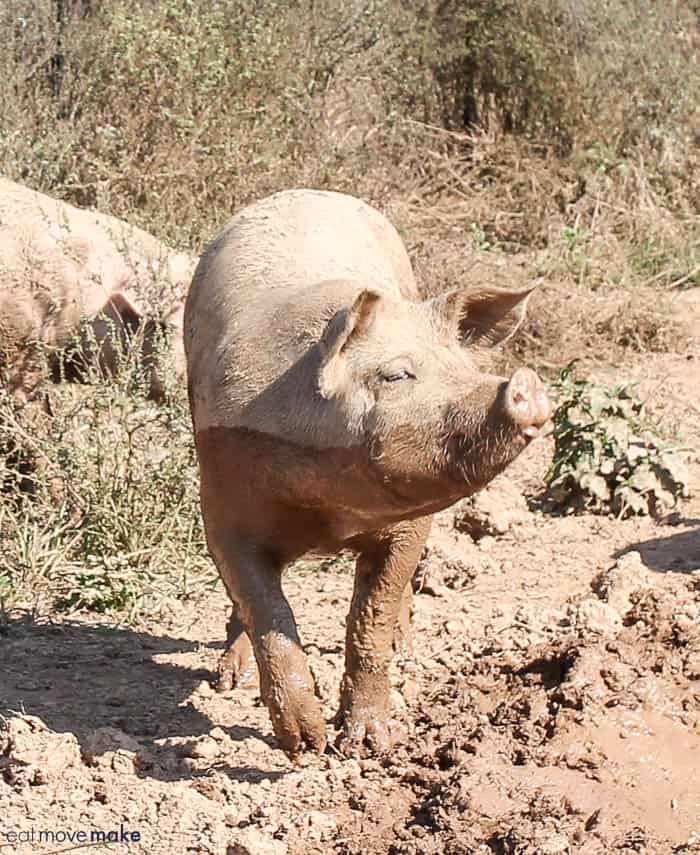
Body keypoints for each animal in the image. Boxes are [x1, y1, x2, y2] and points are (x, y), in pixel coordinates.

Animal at [185, 187, 552, 756]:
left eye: (464, 369)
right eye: (396, 374)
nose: (527, 384)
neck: (333, 511)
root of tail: (309, 191)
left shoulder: (411, 526)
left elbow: (371, 618)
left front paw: (368, 745)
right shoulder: (222, 506)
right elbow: (266, 610)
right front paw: (306, 745)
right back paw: (228, 678)